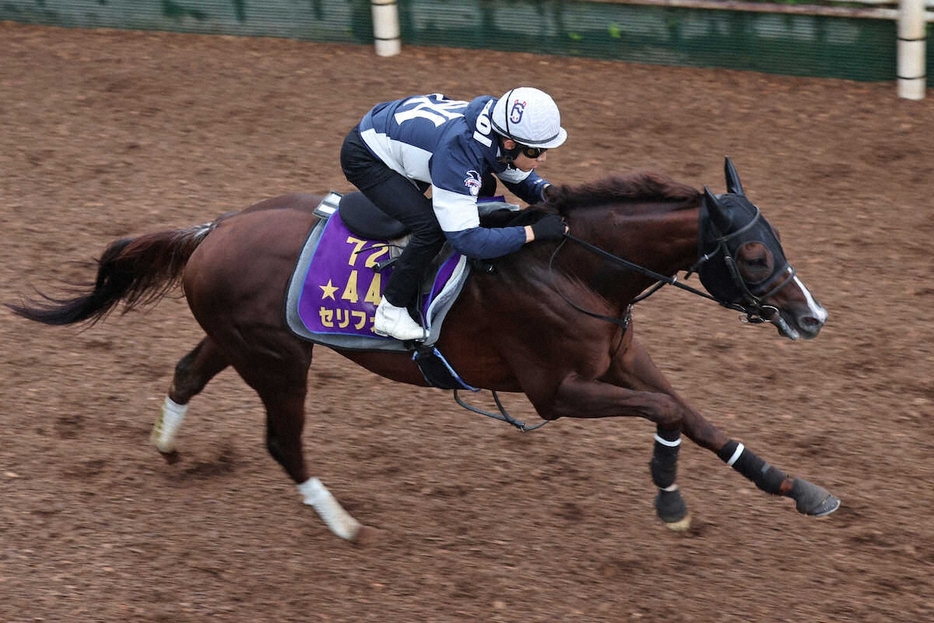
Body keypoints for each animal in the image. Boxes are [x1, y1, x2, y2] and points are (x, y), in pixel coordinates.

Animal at [7, 158, 840, 544]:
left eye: (777, 242)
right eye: (755, 255)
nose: (812, 316)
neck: (571, 266)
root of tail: (212, 229)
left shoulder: (618, 358)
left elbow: (696, 416)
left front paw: (799, 488)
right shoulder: (559, 391)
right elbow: (667, 412)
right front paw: (668, 493)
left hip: (243, 339)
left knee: (186, 372)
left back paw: (169, 447)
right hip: (280, 360)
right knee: (282, 440)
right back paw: (341, 522)